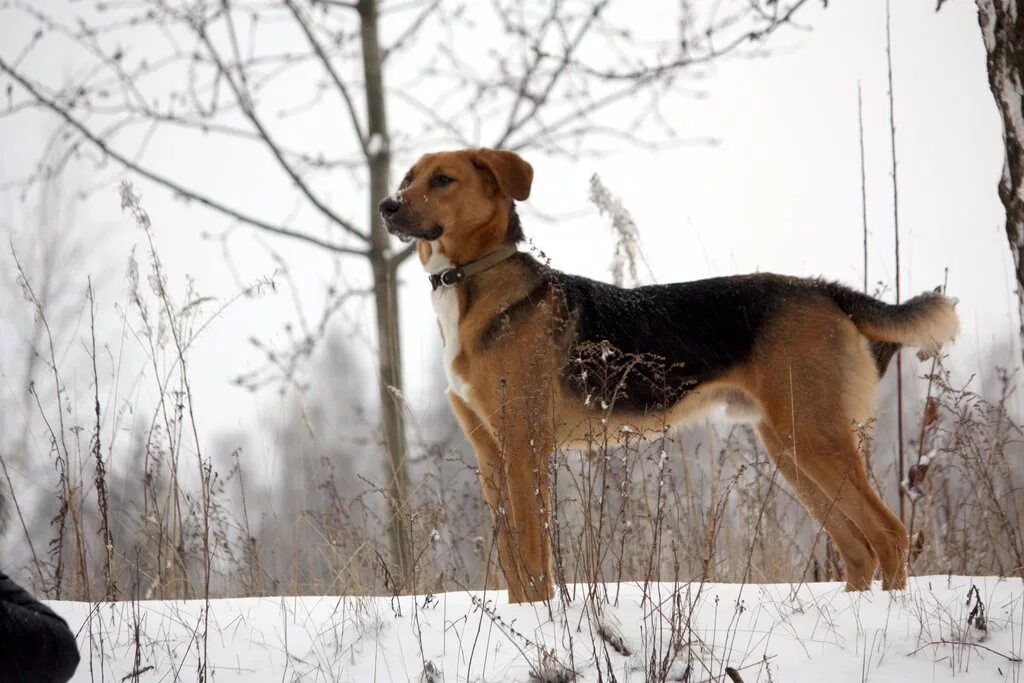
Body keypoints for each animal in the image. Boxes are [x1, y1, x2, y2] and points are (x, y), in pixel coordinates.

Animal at [378, 148, 958, 602]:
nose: (387, 205)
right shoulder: (491, 455)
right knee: (858, 549)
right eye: (408, 176)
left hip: (815, 437)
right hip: (790, 446)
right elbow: (514, 563)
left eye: (442, 179)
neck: (476, 286)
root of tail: (825, 290)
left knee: (890, 535)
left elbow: (532, 555)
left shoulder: (524, 448)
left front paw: (543, 618)